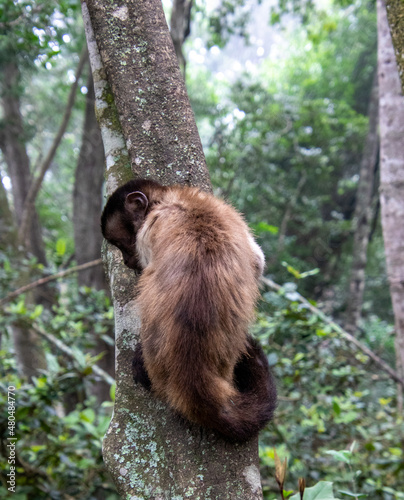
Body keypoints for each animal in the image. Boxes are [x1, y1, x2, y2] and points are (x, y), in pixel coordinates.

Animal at [102, 180, 278, 442]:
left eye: (124, 244)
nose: (125, 260)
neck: (169, 198)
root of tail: (192, 373)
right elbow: (257, 262)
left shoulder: (150, 229)